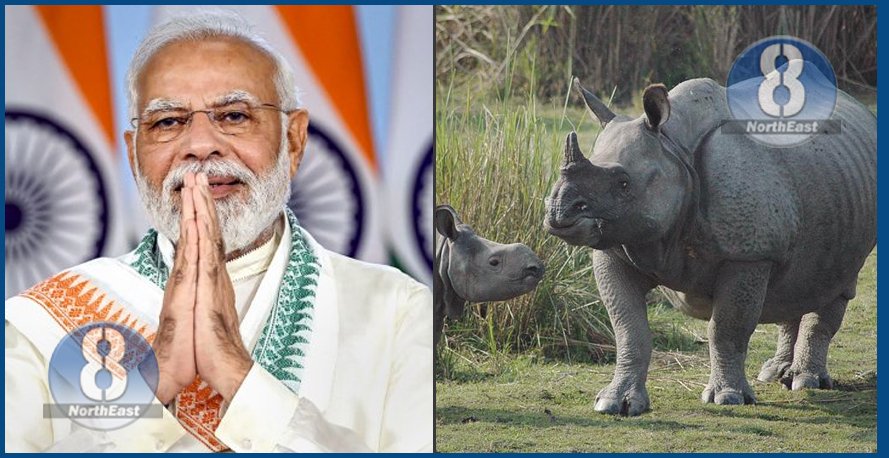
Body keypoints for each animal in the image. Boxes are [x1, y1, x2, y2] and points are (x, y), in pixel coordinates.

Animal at [544, 76, 876, 415]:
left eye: (624, 184)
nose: (559, 210)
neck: (674, 148)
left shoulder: (749, 254)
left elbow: (726, 328)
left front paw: (727, 398)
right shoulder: (615, 247)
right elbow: (628, 329)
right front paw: (614, 403)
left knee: (836, 281)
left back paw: (805, 381)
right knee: (795, 283)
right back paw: (774, 374)